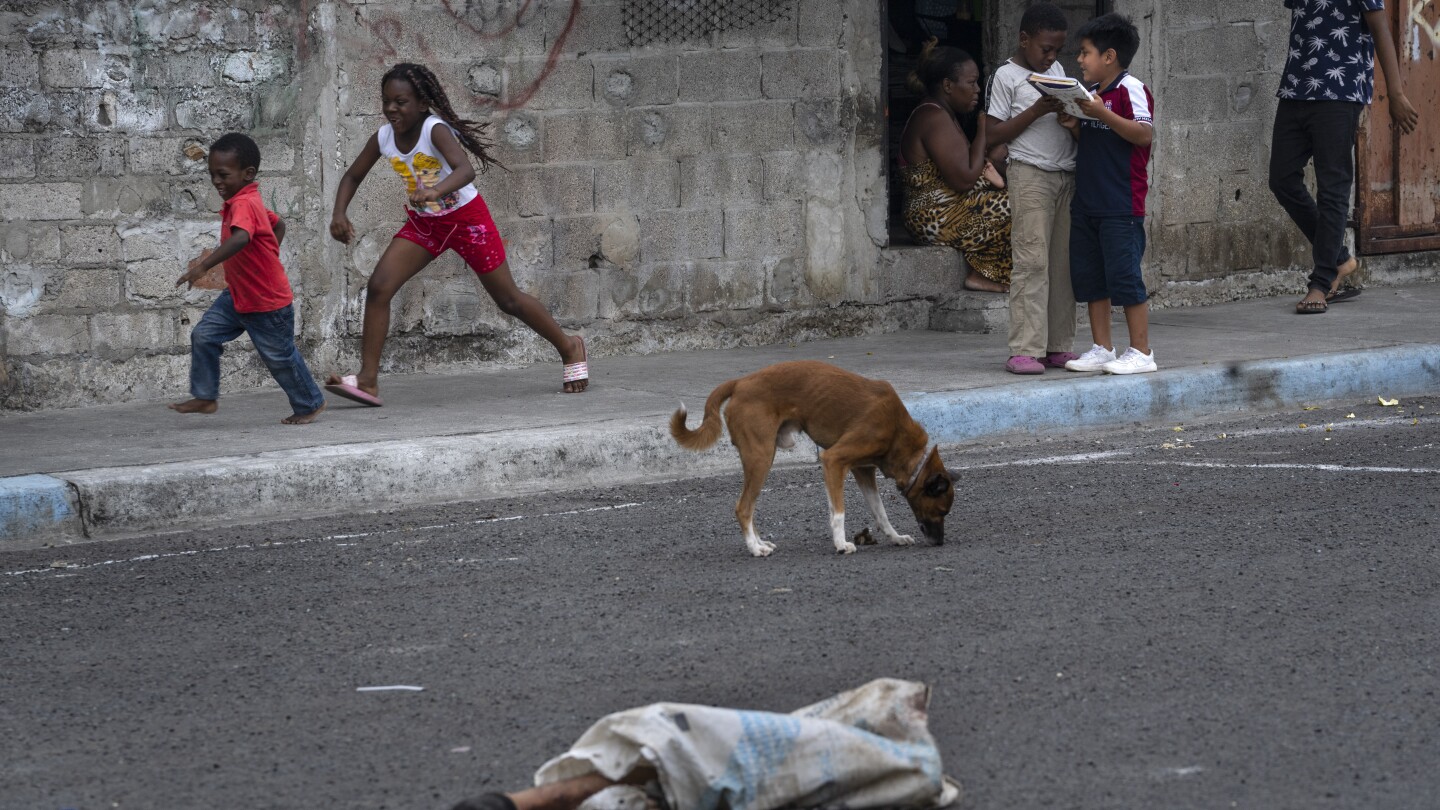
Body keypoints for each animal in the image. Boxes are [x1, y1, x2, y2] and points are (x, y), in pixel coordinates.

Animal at [668, 358, 950, 553]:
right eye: (942, 510)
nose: (940, 543)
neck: (897, 430)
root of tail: (741, 382)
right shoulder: (834, 460)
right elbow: (839, 512)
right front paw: (841, 544)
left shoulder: (863, 470)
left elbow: (879, 512)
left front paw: (895, 537)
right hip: (760, 457)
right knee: (743, 507)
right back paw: (755, 549)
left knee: (749, 506)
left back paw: (761, 543)